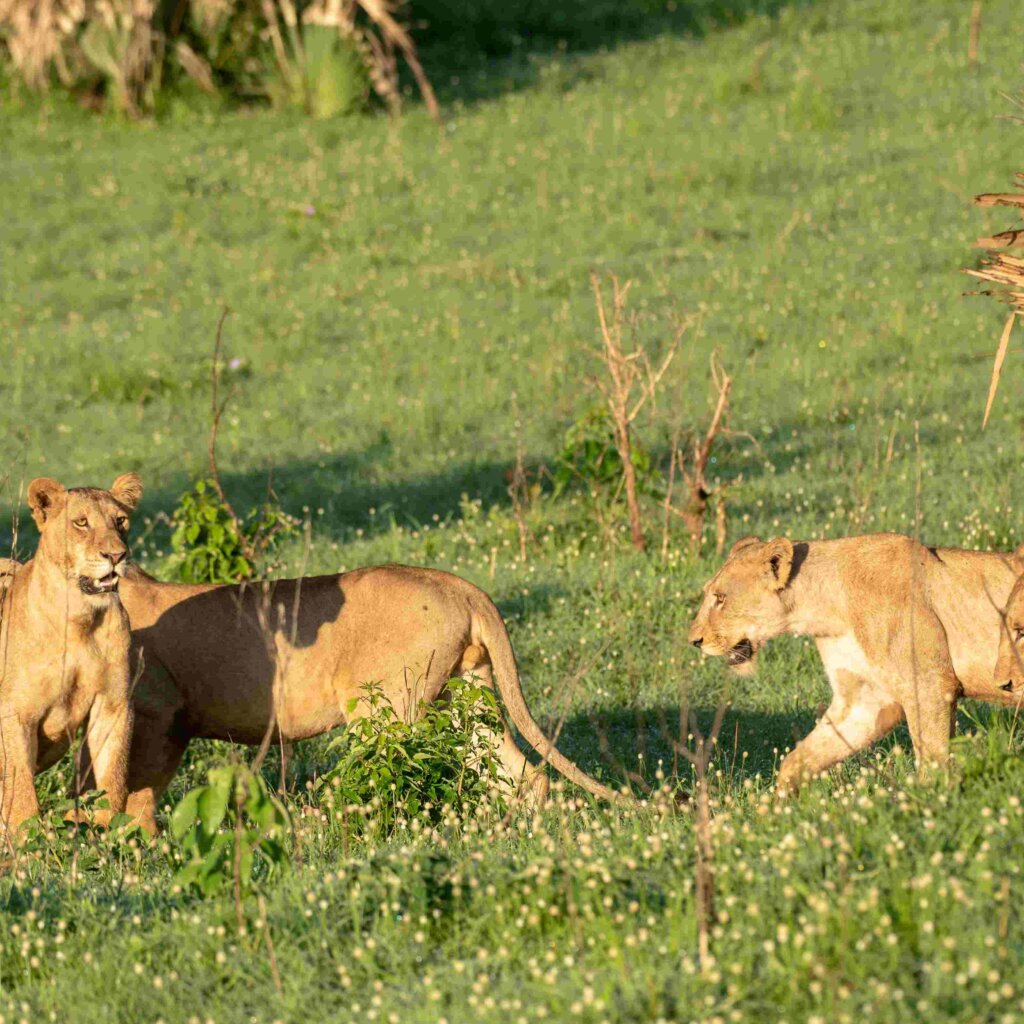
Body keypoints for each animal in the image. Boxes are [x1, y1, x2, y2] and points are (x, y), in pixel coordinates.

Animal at [0, 474, 141, 832]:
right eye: (81, 523)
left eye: (120, 521)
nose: (116, 555)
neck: (79, 619)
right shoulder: (13, 713)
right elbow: (21, 787)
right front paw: (29, 839)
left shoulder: (113, 703)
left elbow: (112, 776)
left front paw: (107, 834)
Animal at [111, 562, 618, 833]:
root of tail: (461, 587)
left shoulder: (159, 717)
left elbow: (133, 793)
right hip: (465, 695)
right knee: (524, 773)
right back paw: (517, 833)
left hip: (389, 709)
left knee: (399, 781)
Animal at [688, 533, 1024, 792]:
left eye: (720, 598)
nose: (694, 640)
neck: (827, 610)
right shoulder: (865, 701)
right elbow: (800, 758)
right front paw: (776, 813)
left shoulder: (929, 685)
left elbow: (933, 759)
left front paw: (933, 805)